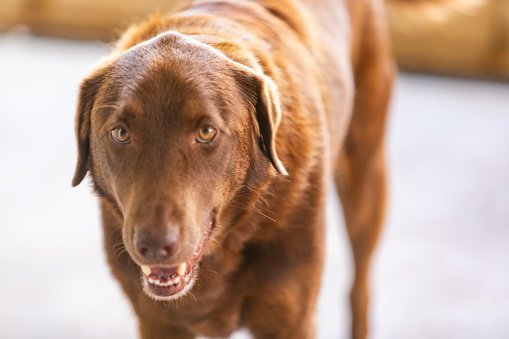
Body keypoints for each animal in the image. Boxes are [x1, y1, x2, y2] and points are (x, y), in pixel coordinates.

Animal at [72, 1, 392, 338]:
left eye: (206, 132)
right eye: (121, 133)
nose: (154, 246)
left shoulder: (292, 320)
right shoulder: (158, 322)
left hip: (366, 181)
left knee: (359, 288)